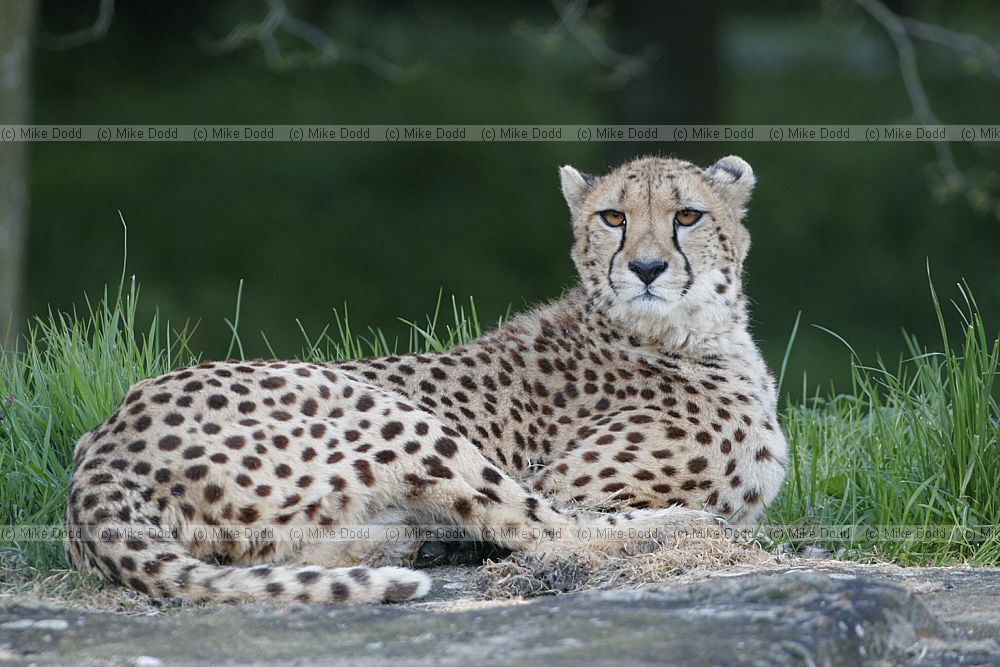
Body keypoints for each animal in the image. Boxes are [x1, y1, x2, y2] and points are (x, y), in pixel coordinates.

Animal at [65, 154, 788, 604]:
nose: (644, 268)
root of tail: (103, 442)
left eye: (688, 216)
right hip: (387, 412)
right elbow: (565, 518)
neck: (685, 332)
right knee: (543, 527)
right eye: (613, 217)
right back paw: (676, 525)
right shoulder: (569, 482)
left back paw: (399, 541)